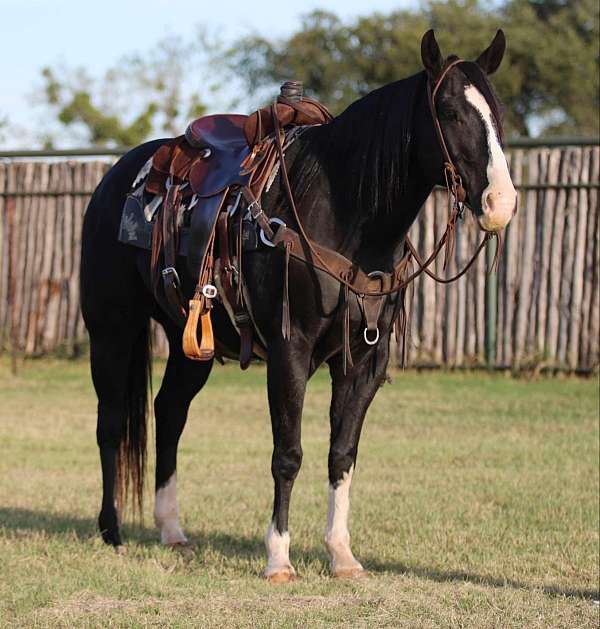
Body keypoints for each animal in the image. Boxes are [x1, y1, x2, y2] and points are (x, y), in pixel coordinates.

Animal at [81, 29, 516, 580]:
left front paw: (341, 554)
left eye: (496, 112)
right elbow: (287, 453)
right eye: (450, 111)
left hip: (191, 344)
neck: (342, 212)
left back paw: (172, 530)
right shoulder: (290, 351)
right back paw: (111, 530)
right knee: (111, 422)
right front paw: (278, 558)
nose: (502, 203)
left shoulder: (366, 360)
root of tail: (115, 180)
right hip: (111, 333)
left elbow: (342, 453)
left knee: (170, 413)